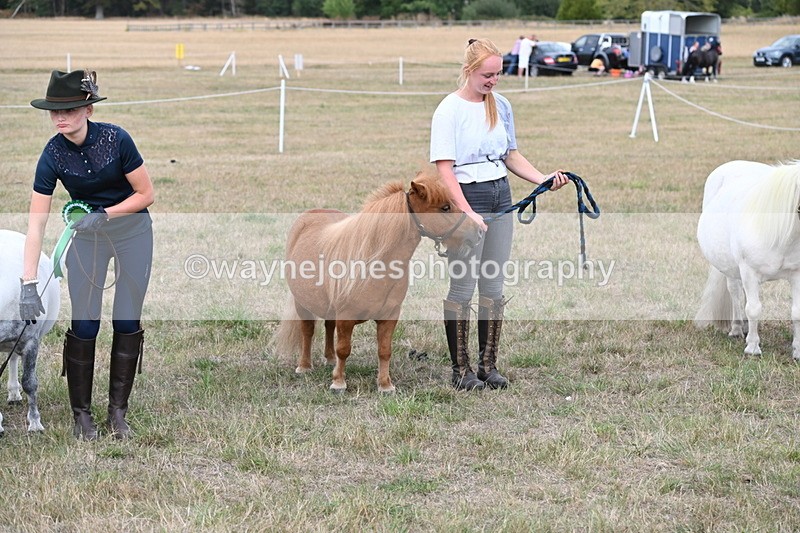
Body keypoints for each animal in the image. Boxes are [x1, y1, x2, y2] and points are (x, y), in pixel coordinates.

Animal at [273, 169, 484, 393]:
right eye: (445, 207)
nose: (478, 231)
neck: (374, 265)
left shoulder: (389, 316)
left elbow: (384, 350)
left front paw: (385, 385)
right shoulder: (346, 317)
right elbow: (343, 349)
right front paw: (338, 382)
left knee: (329, 327)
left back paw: (329, 360)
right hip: (302, 303)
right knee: (307, 331)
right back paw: (304, 366)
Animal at [695, 160, 800, 361]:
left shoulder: (797, 275)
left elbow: (796, 312)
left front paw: (798, 351)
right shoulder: (749, 271)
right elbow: (754, 309)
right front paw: (752, 347)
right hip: (730, 267)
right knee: (735, 292)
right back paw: (737, 328)